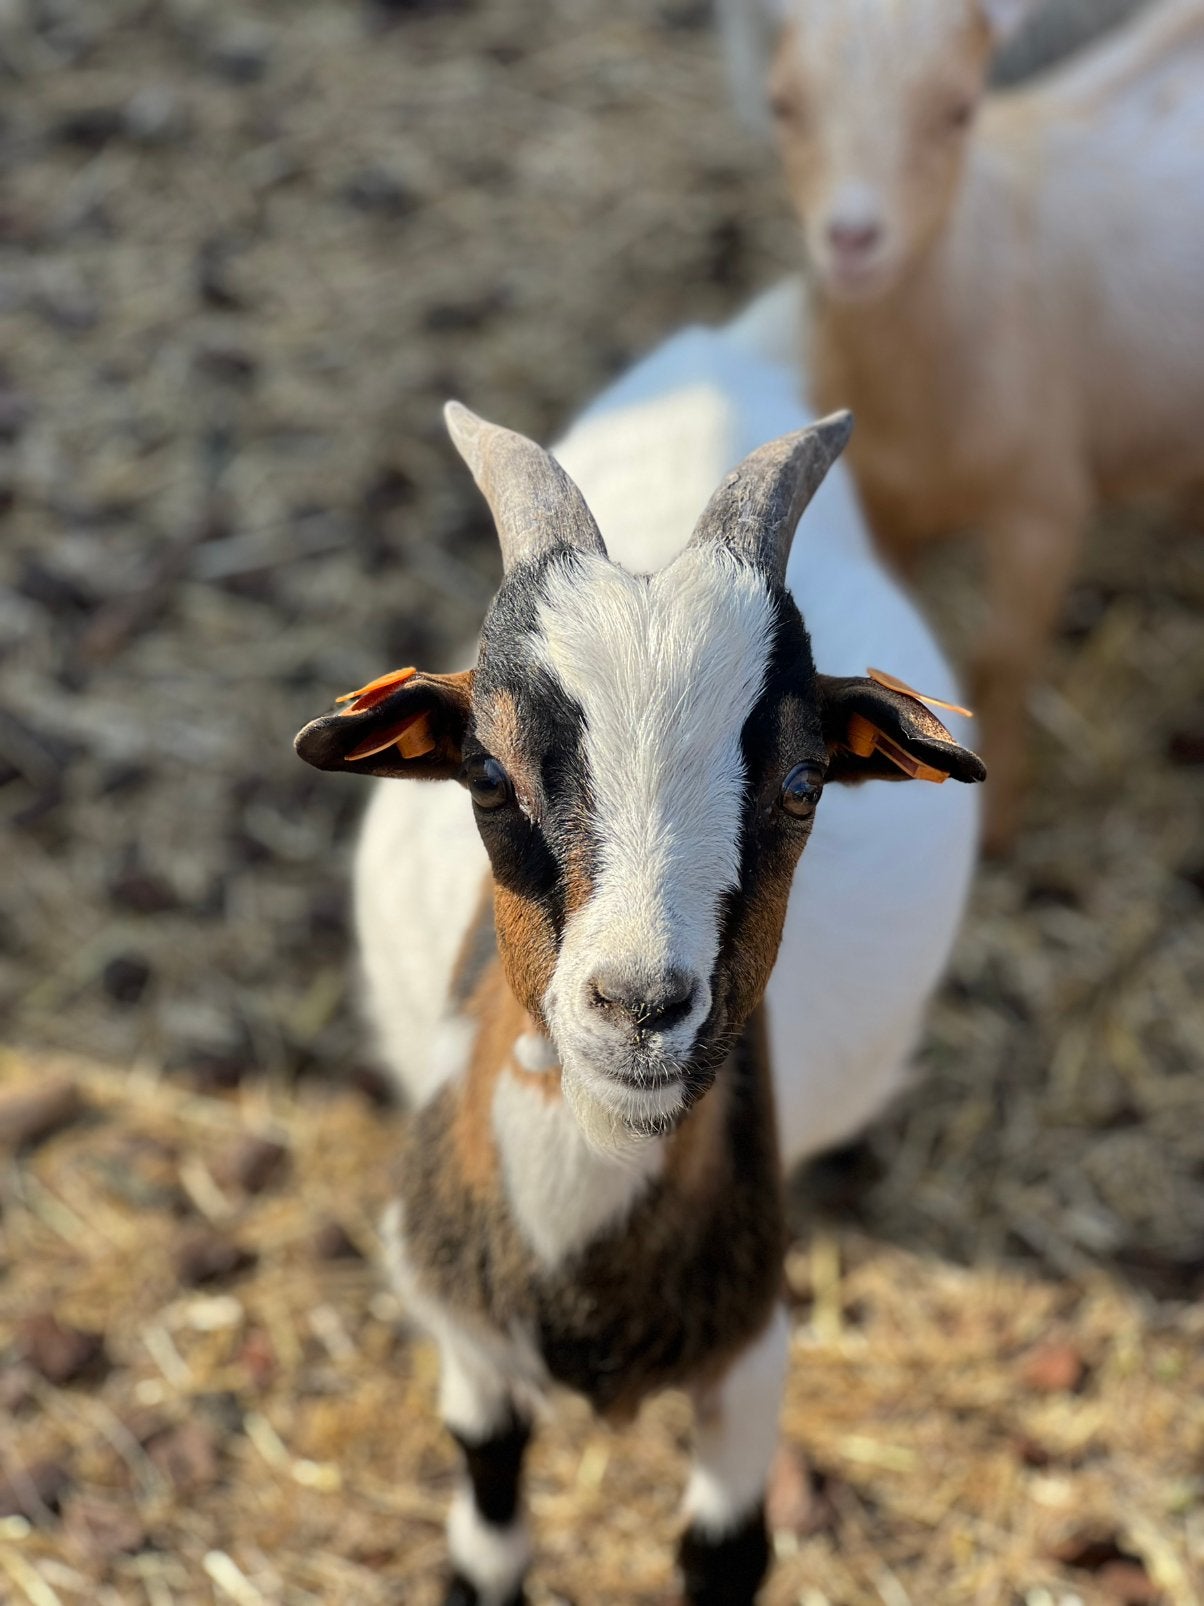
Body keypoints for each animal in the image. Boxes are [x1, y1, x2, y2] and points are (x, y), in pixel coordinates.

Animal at [295, 288, 985, 1605]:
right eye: (485, 775)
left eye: (804, 782)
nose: (638, 1004)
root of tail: (729, 348)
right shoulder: (467, 1351)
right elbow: (487, 1543)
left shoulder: (752, 1361)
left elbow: (725, 1553)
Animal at [724, 0, 1204, 849]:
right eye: (783, 103)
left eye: (958, 109)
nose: (853, 239)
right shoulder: (885, 506)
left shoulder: (1042, 504)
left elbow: (1001, 659)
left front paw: (998, 818)